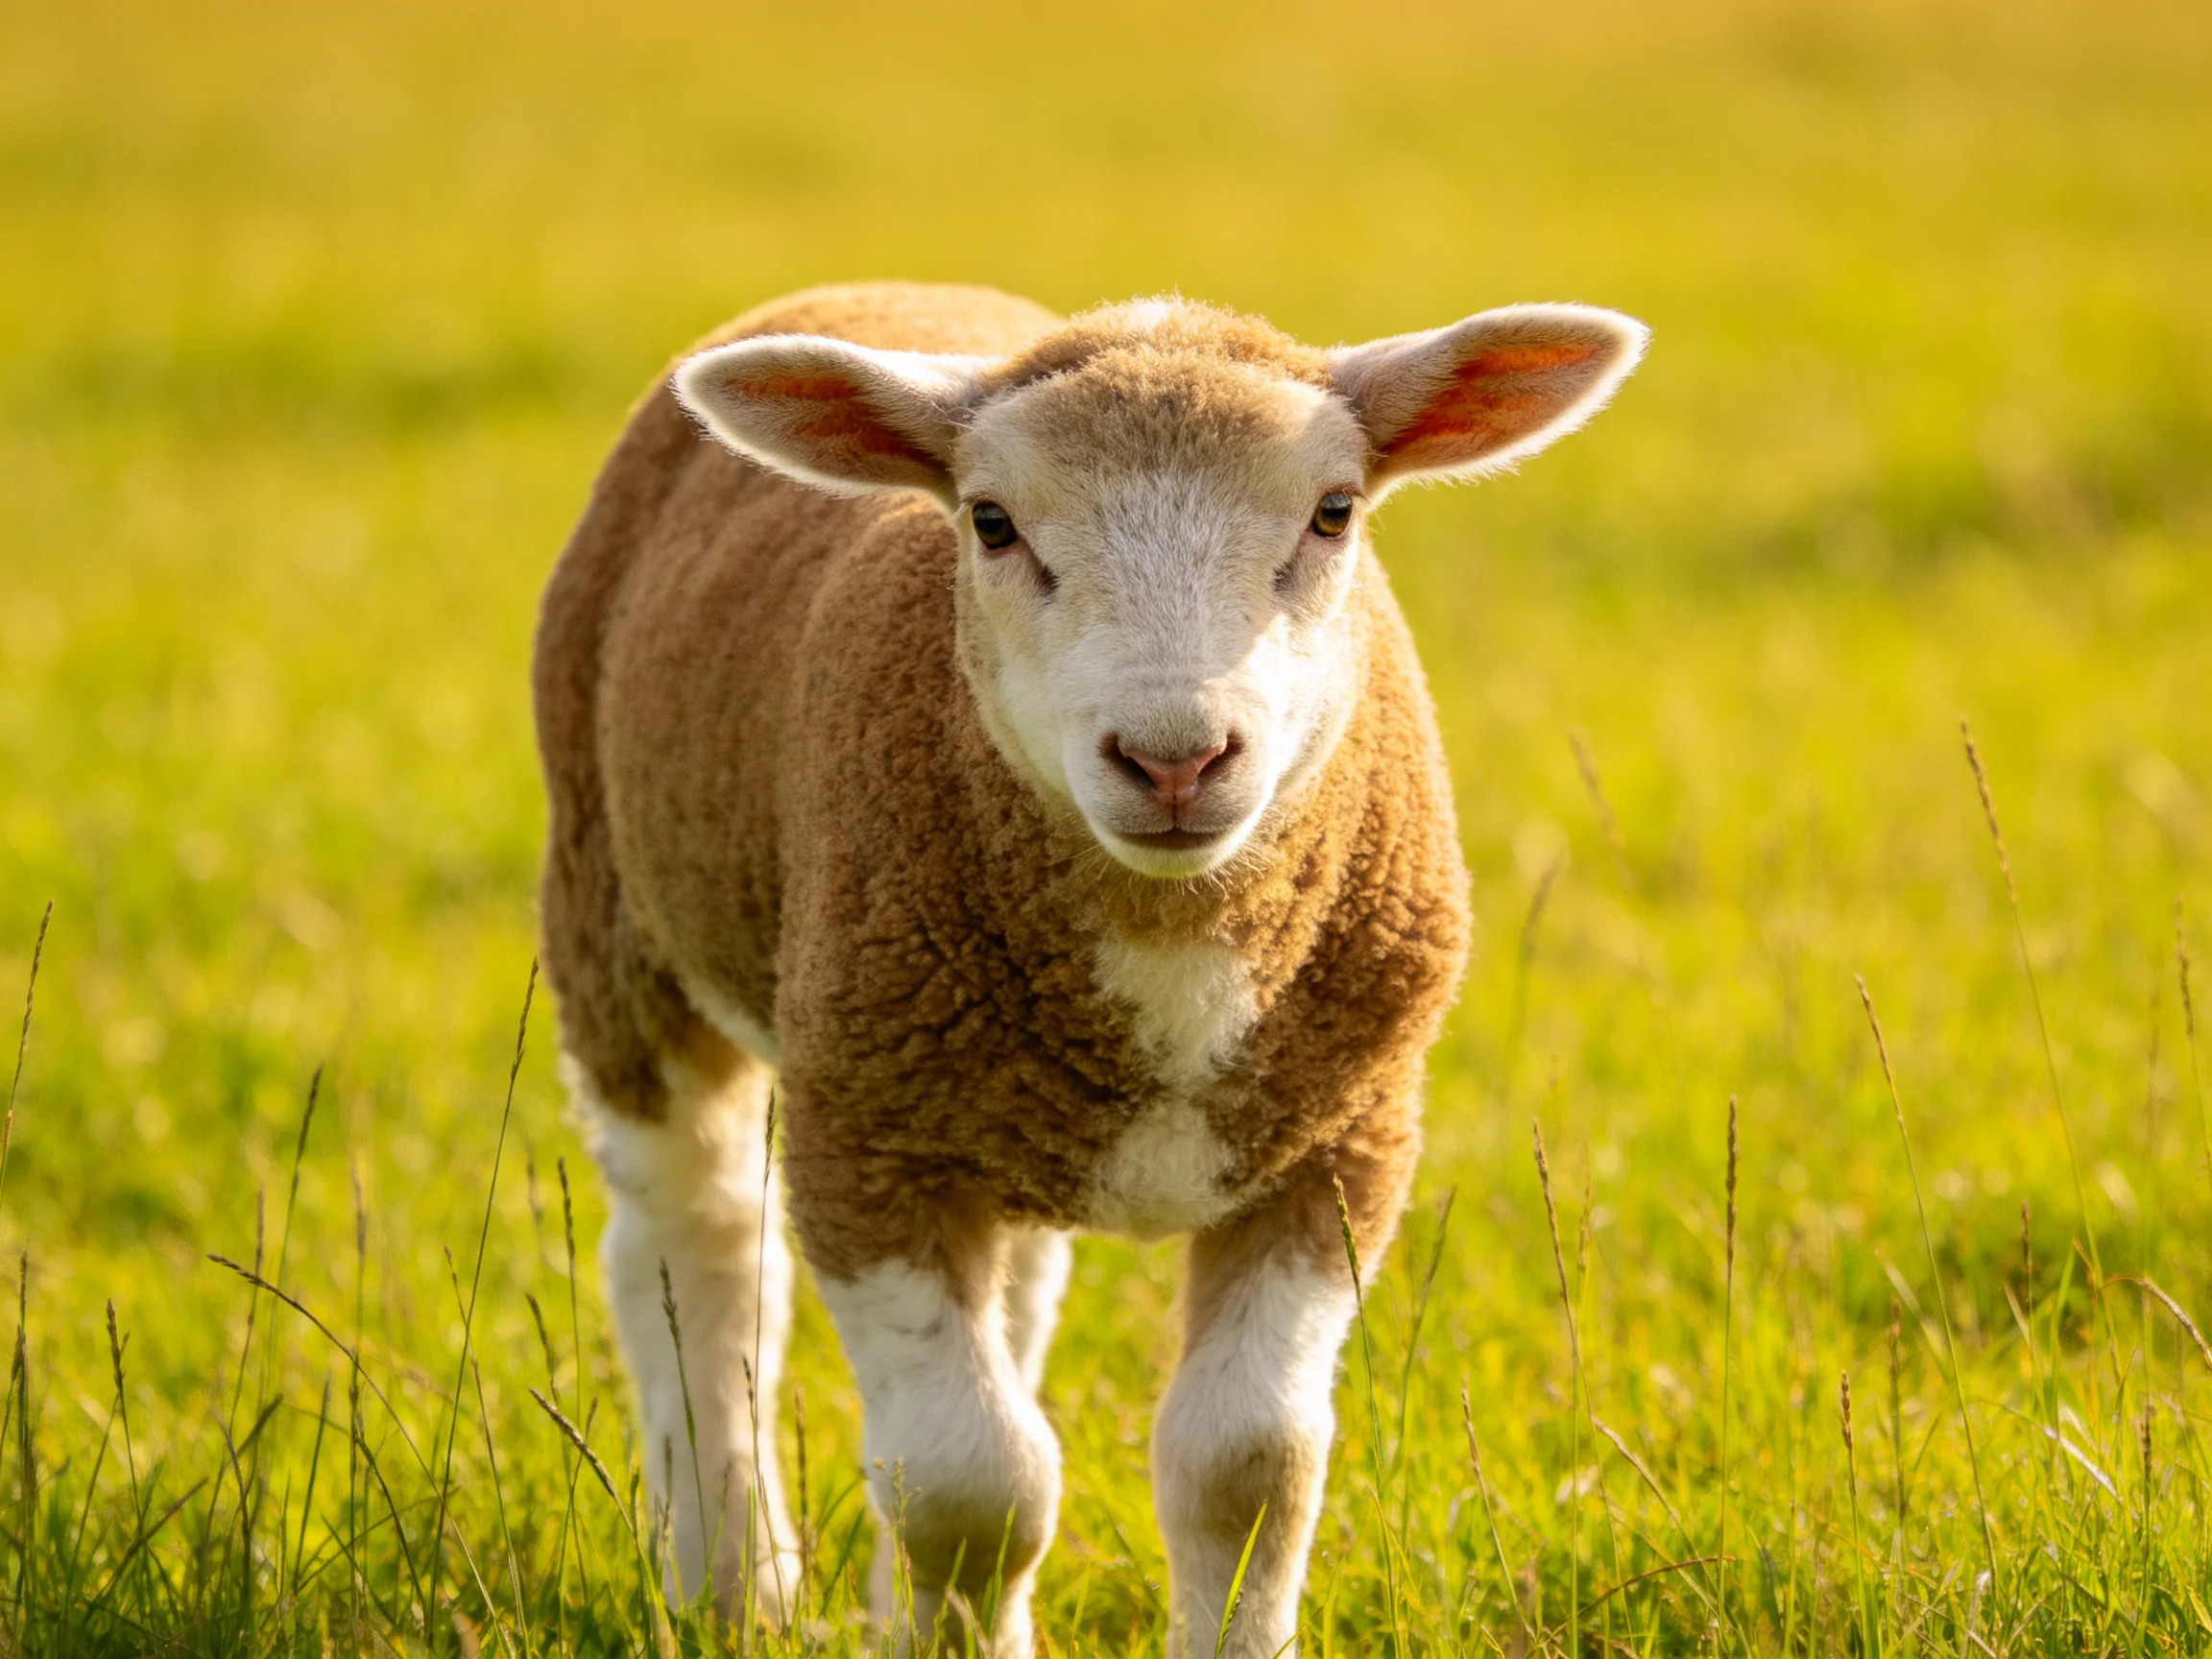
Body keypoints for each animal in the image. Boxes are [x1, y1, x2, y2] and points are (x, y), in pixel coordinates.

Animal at [533, 281, 1646, 1657]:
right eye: (990, 523)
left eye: (1334, 512)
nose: (1174, 758)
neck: (1168, 934)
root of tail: (879, 291)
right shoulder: (866, 1135)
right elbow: (971, 1488)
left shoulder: (1342, 1141)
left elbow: (1249, 1470)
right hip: (616, 923)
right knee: (700, 1253)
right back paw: (733, 1583)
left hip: (994, 1101)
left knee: (1003, 1298)